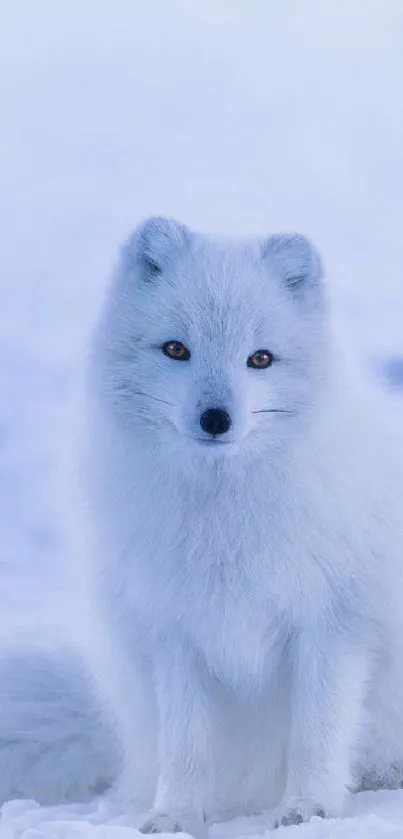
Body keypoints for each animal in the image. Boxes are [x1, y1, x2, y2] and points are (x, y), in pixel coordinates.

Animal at [0, 220, 403, 836]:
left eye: (260, 358)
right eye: (176, 349)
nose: (216, 418)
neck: (225, 514)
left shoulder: (332, 623)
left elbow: (318, 728)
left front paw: (308, 808)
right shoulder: (175, 629)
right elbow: (186, 743)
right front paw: (177, 815)